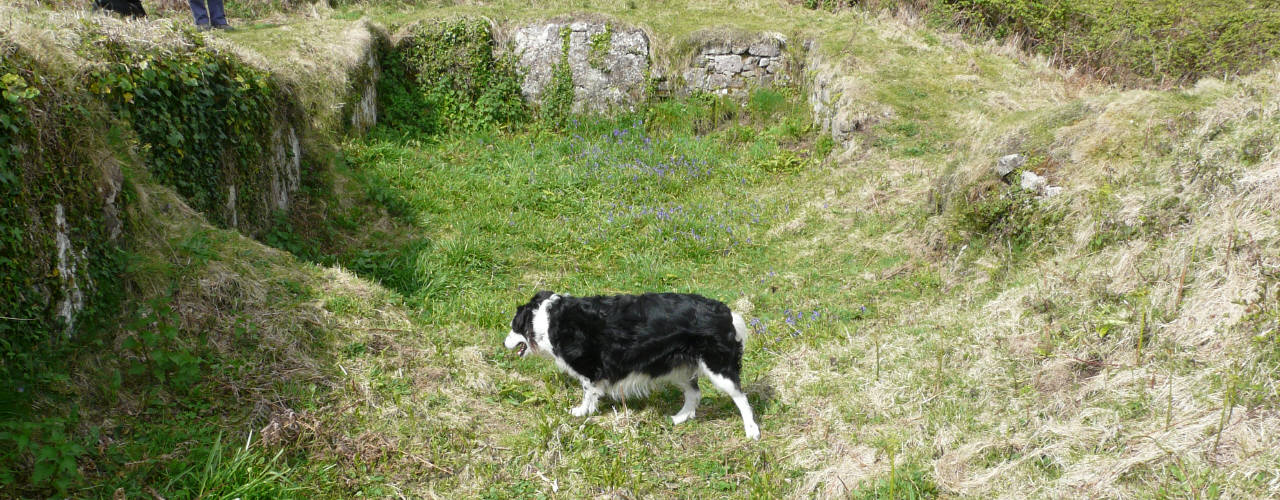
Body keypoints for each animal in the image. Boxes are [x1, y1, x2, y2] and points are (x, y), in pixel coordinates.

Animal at [499, 291, 757, 439]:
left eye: (513, 327)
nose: (503, 342)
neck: (546, 320)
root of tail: (728, 313)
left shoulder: (590, 370)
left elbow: (588, 393)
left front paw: (582, 412)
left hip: (718, 368)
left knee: (741, 398)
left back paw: (752, 431)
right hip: (678, 367)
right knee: (694, 393)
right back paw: (679, 418)